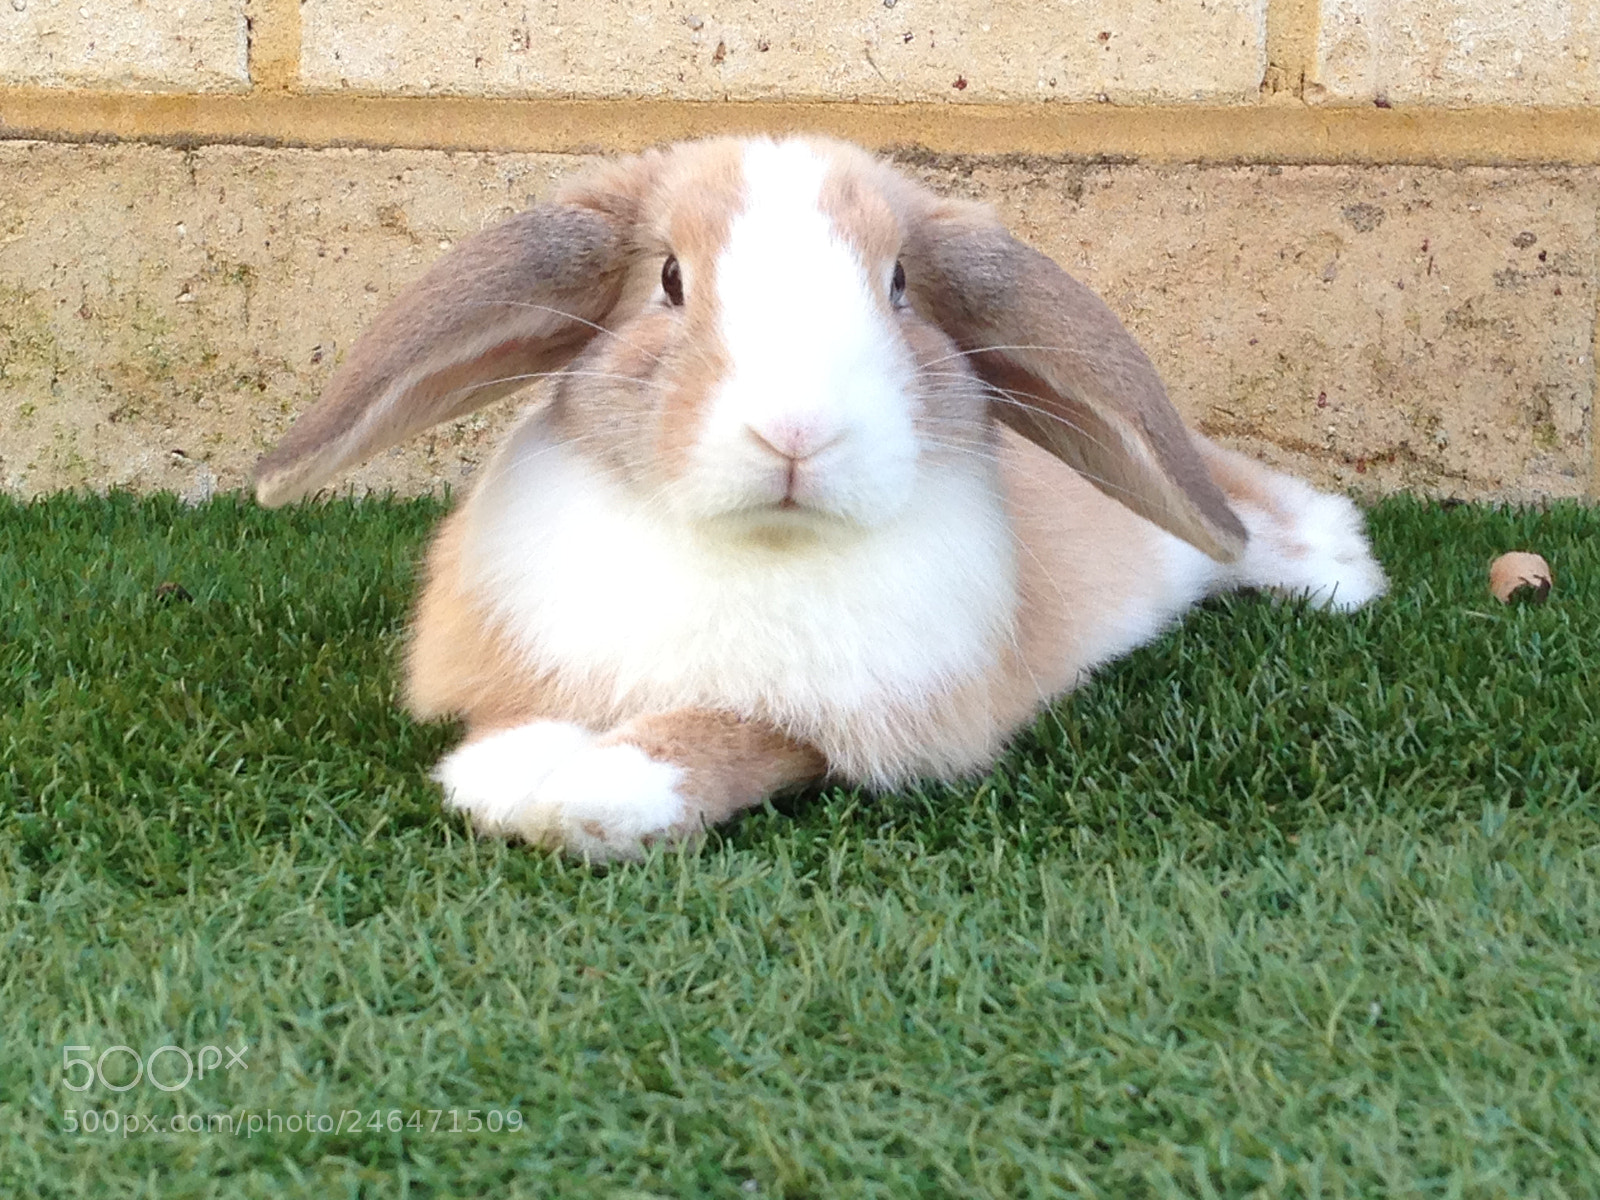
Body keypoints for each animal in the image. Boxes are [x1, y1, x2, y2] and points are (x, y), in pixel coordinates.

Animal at [254, 136, 1387, 861]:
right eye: (670, 279)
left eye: (899, 287)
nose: (797, 431)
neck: (756, 548)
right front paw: (516, 763)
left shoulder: (841, 720)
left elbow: (726, 737)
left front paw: (583, 789)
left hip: (1200, 509)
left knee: (1248, 508)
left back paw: (1339, 574)